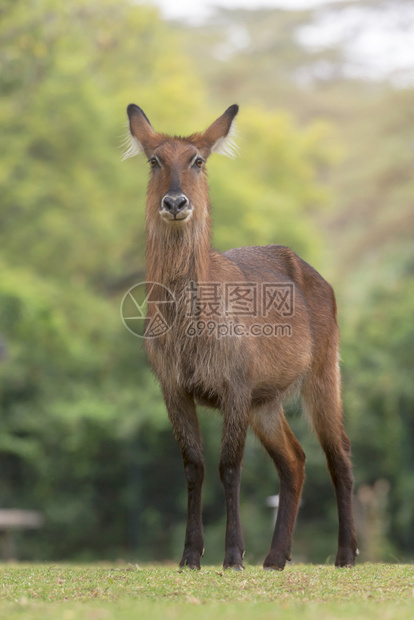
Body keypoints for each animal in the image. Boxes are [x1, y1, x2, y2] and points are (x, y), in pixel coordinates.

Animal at [124, 103, 358, 572]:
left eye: (198, 160)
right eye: (154, 160)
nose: (175, 202)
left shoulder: (234, 386)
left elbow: (229, 467)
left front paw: (232, 555)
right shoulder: (174, 388)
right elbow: (193, 466)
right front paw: (190, 555)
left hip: (322, 375)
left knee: (338, 451)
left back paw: (346, 553)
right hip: (265, 403)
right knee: (295, 459)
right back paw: (276, 557)